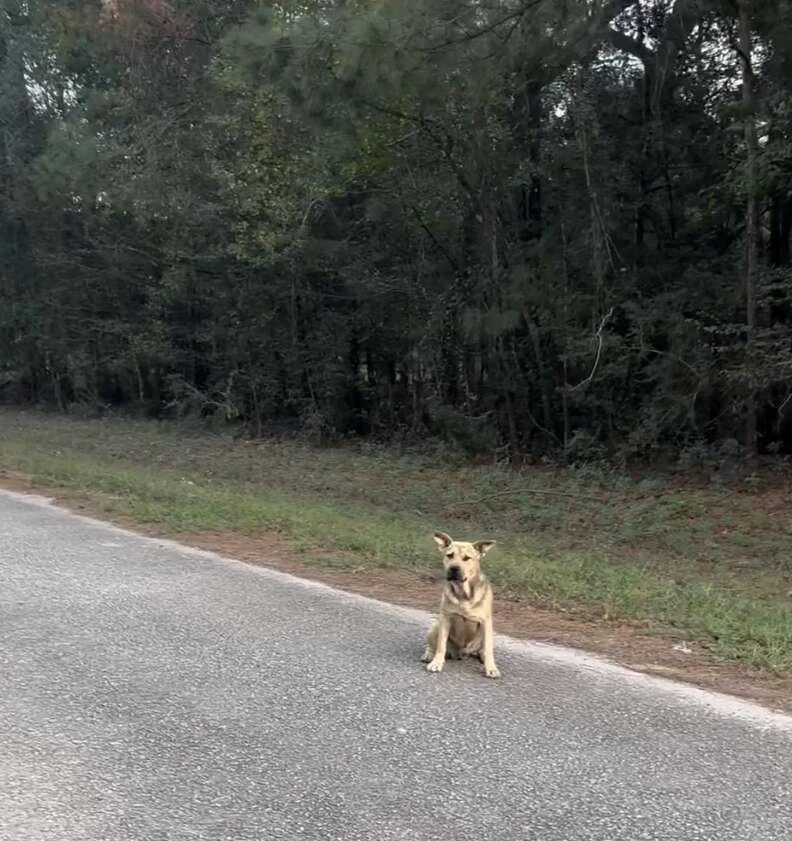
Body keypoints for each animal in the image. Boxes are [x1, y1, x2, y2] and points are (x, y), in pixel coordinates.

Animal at [420, 528, 502, 680]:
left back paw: (481, 655)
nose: (454, 568)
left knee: (483, 648)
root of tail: (462, 653)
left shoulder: (486, 622)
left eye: (467, 558)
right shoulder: (445, 618)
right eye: (449, 555)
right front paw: (437, 662)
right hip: (436, 625)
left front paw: (491, 668)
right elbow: (441, 645)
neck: (463, 592)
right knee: (432, 645)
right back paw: (429, 655)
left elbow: (488, 649)